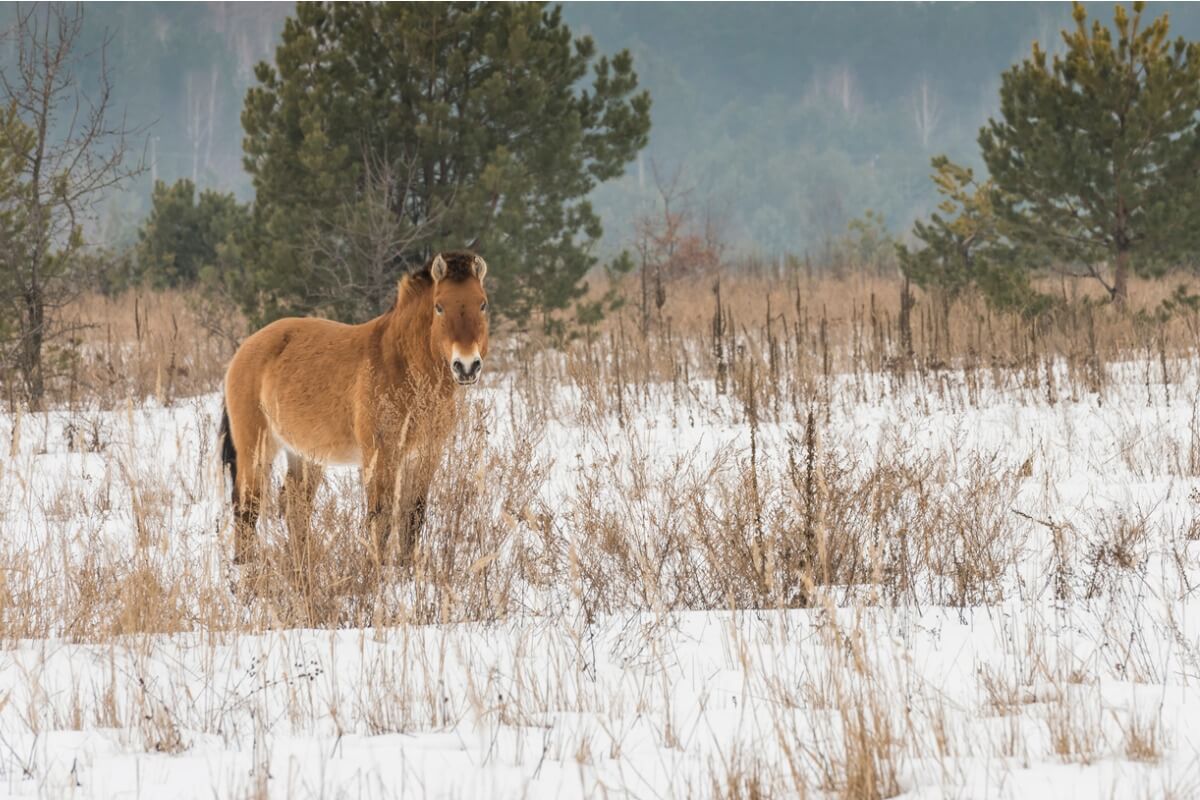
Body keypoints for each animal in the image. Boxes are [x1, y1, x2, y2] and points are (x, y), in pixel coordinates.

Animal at [218, 251, 490, 574]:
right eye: (439, 306)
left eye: (482, 304)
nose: (467, 366)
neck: (402, 364)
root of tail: (245, 348)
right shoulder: (381, 454)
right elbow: (380, 517)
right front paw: (378, 573)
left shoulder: (426, 454)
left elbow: (412, 516)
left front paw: (406, 572)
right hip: (256, 449)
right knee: (247, 506)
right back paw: (246, 567)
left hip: (305, 455)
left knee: (296, 506)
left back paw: (302, 566)